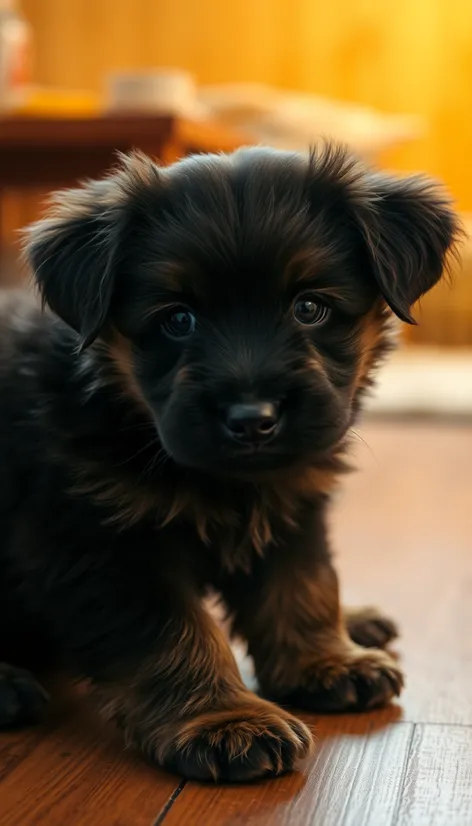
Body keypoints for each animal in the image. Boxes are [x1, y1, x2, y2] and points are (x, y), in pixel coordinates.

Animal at [0, 143, 460, 780]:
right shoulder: (97, 545)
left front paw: (323, 661)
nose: (252, 418)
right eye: (177, 319)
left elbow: (304, 581)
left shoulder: (294, 501)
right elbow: (172, 632)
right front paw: (225, 721)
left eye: (310, 307)